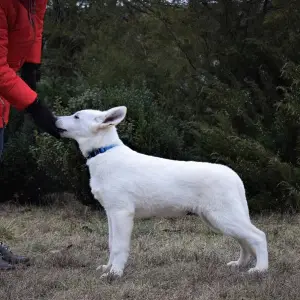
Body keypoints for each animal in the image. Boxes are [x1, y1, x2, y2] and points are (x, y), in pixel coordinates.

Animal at [55, 106, 268, 278]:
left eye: (76, 116)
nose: (55, 119)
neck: (104, 152)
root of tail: (235, 176)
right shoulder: (111, 213)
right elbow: (111, 243)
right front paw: (108, 268)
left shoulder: (121, 213)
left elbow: (119, 246)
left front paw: (115, 273)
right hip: (218, 219)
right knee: (244, 241)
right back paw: (239, 264)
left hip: (224, 216)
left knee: (258, 236)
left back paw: (260, 270)